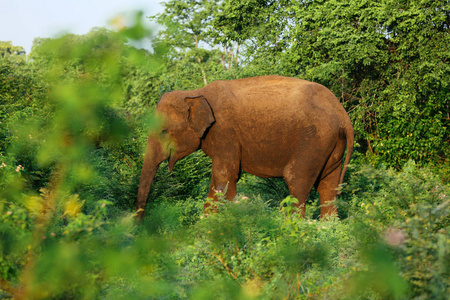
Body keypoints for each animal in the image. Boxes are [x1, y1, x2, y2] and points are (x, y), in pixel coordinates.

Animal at [135, 75, 354, 220]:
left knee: (296, 178)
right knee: (328, 184)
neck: (194, 94)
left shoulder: (224, 131)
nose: (139, 227)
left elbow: (225, 175)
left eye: (164, 131)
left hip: (315, 137)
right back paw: (328, 227)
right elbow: (220, 176)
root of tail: (342, 112)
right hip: (331, 142)